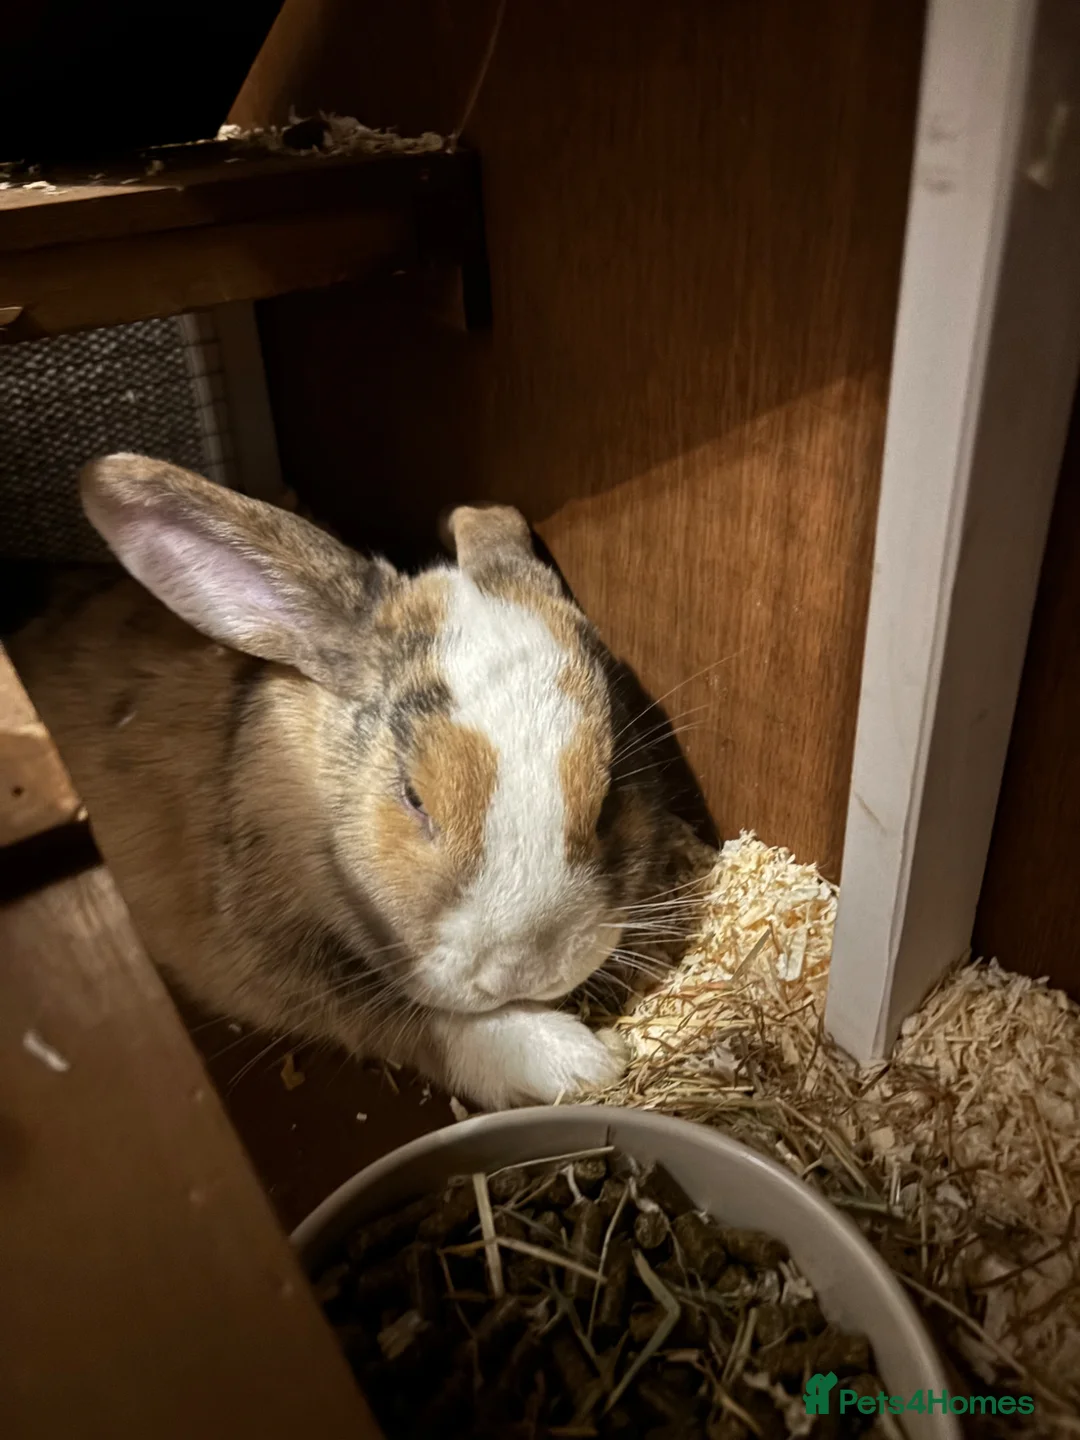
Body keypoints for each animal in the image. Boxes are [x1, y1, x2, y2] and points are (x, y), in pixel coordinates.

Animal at [6, 454, 702, 1110]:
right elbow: (402, 1014)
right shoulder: (265, 960)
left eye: (610, 796)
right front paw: (578, 1059)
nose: (528, 969)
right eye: (413, 796)